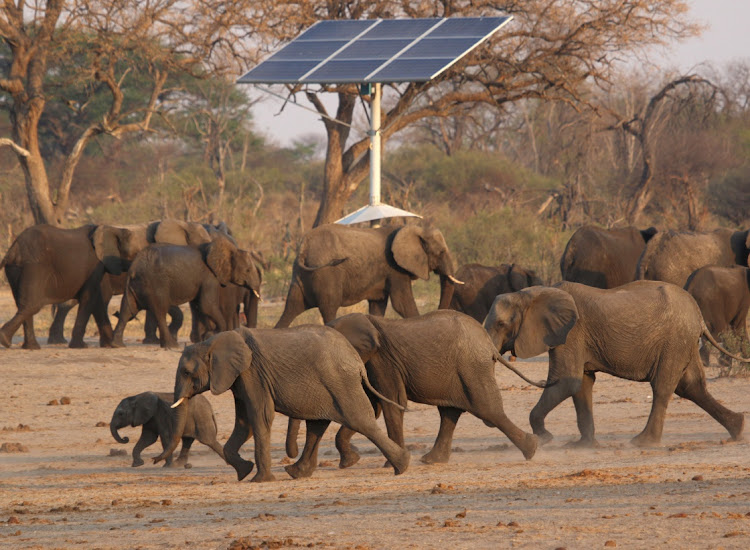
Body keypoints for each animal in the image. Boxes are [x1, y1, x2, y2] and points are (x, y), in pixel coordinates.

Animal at [154, 328, 412, 484]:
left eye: (186, 372)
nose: (154, 462)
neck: (213, 342)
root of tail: (357, 360)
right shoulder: (239, 379)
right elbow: (245, 423)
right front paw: (244, 471)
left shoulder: (252, 374)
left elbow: (259, 417)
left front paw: (259, 480)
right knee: (317, 426)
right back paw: (296, 473)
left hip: (340, 383)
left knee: (360, 420)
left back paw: (403, 466)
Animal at [276, 223, 464, 330]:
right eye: (440, 252)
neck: (415, 229)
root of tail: (304, 245)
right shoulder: (395, 269)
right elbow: (402, 303)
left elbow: (377, 306)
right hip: (326, 274)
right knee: (329, 307)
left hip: (300, 275)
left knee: (292, 307)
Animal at [290, 310, 536, 470]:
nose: (291, 454)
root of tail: (489, 344)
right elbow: (373, 407)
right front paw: (351, 461)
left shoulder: (382, 360)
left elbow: (391, 404)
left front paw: (386, 465)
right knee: (450, 412)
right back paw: (431, 460)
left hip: (471, 366)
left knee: (486, 409)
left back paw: (531, 448)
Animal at [484, 282, 748, 450]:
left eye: (500, 324)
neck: (532, 293)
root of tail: (699, 314)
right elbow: (582, 384)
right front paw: (582, 446)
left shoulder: (571, 334)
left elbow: (567, 381)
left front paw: (546, 438)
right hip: (684, 341)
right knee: (692, 387)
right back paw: (738, 428)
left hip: (675, 340)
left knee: (663, 387)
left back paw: (642, 442)